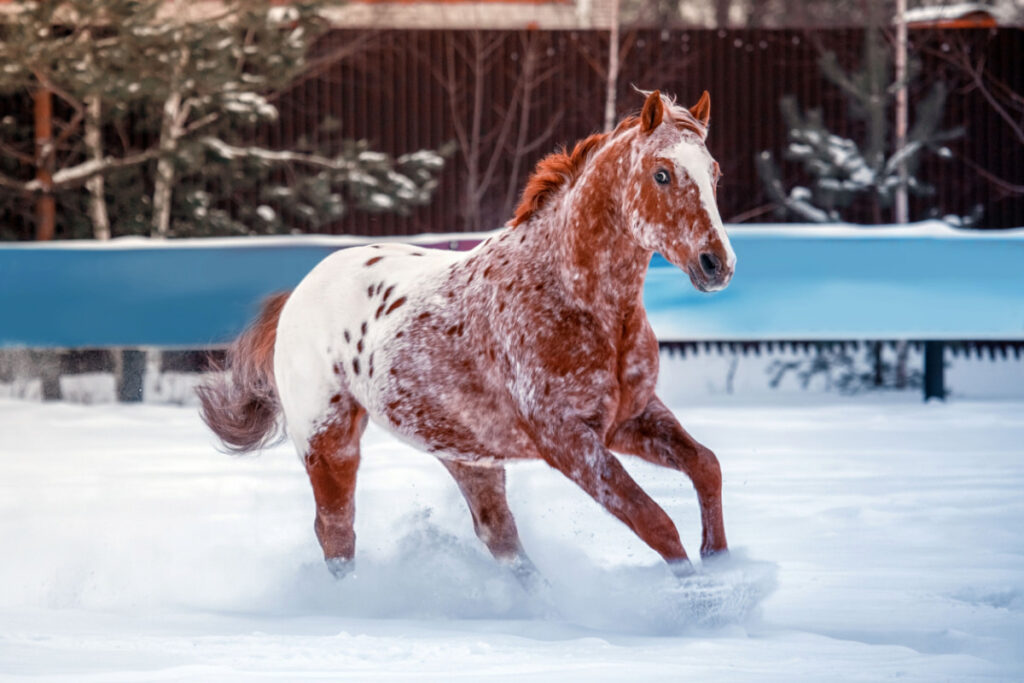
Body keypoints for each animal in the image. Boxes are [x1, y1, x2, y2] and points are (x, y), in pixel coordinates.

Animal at [193, 89, 737, 581]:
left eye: (714, 173)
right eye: (661, 173)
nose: (717, 263)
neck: (580, 301)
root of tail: (298, 294)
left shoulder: (630, 418)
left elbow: (706, 466)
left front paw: (719, 561)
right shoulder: (567, 440)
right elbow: (655, 522)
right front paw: (704, 601)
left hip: (467, 456)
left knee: (499, 537)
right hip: (328, 441)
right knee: (337, 533)